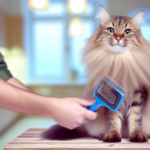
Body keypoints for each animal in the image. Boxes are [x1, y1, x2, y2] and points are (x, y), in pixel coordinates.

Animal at [41, 5, 150, 142]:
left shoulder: (139, 93)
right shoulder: (111, 93)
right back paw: (102, 135)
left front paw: (137, 134)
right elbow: (113, 119)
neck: (120, 62)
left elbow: (136, 117)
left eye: (127, 31)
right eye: (111, 30)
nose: (118, 38)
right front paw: (112, 134)